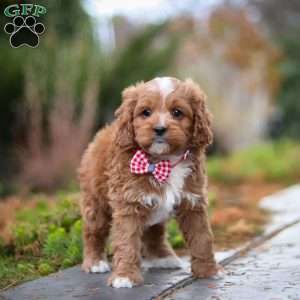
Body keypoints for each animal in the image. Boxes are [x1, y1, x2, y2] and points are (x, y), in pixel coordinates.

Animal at [77, 77, 218, 288]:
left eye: (177, 112)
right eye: (146, 112)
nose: (159, 129)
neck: (163, 161)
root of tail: (101, 133)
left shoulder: (192, 202)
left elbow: (202, 238)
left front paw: (208, 272)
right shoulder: (128, 203)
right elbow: (127, 241)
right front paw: (124, 276)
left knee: (155, 230)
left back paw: (162, 257)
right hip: (96, 201)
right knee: (93, 231)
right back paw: (95, 262)